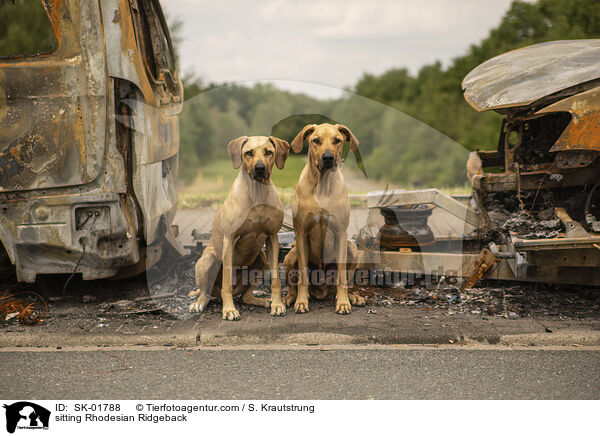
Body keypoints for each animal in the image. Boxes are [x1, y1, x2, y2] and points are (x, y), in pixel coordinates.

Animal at [189, 136, 290, 320]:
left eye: (268, 152)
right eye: (248, 153)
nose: (259, 168)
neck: (257, 192)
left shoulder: (272, 236)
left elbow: (276, 279)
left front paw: (278, 305)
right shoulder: (229, 239)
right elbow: (226, 283)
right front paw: (229, 310)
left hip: (261, 259)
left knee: (245, 296)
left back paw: (262, 301)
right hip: (208, 260)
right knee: (205, 292)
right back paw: (199, 304)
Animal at [282, 122, 366, 314]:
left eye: (337, 140)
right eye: (316, 140)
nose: (328, 157)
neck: (322, 185)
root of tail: (321, 291)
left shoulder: (341, 233)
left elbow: (342, 275)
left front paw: (343, 302)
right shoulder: (301, 233)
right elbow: (302, 275)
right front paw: (301, 302)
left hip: (352, 249)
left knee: (343, 281)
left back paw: (352, 296)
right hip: (290, 255)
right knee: (292, 285)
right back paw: (289, 298)